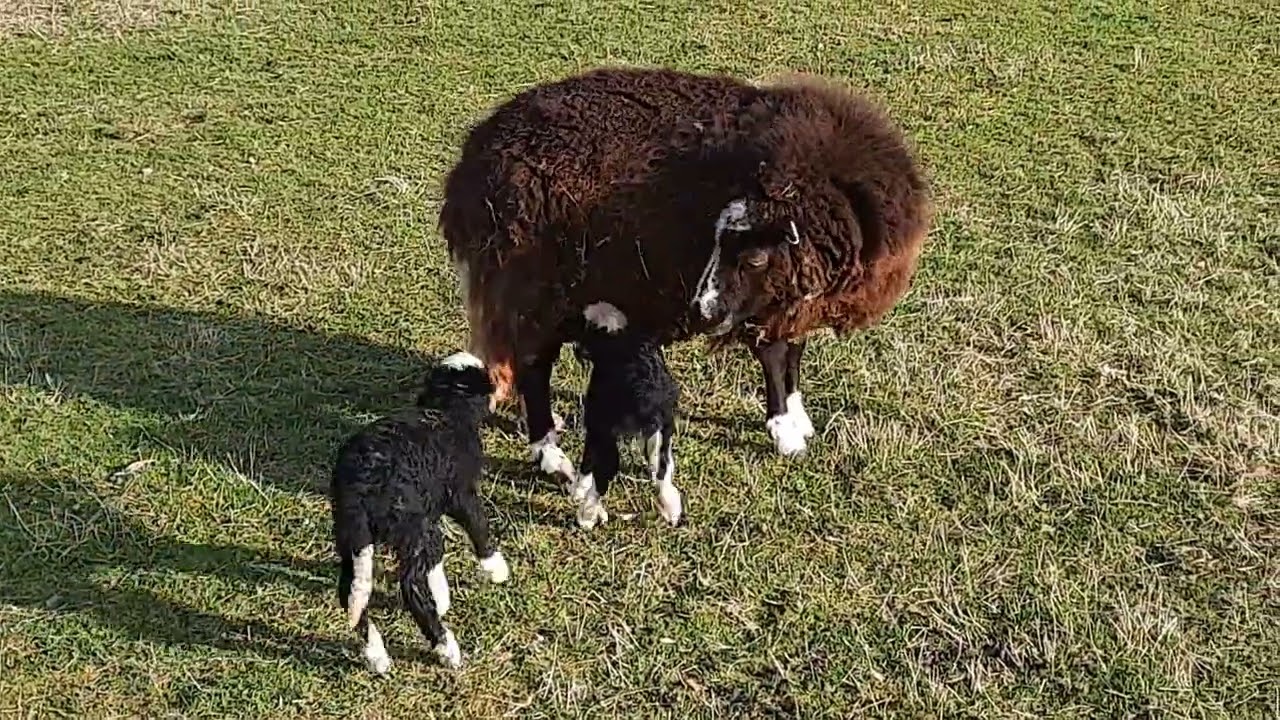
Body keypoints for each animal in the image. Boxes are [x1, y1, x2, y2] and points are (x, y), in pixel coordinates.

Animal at [330, 351, 510, 674]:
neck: (446, 410)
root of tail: (357, 488)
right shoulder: (460, 493)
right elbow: (478, 525)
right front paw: (495, 568)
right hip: (409, 525)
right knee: (412, 584)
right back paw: (446, 647)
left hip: (351, 534)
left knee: (350, 590)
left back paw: (376, 655)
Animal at [440, 66, 933, 480]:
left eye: (754, 258)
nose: (704, 311)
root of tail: (473, 162)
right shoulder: (761, 304)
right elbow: (775, 356)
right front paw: (785, 433)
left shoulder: (787, 299)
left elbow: (793, 352)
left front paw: (798, 416)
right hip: (534, 285)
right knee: (534, 365)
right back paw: (549, 453)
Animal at [568, 301, 682, 530]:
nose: (576, 347)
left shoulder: (595, 422)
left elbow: (588, 461)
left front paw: (577, 491)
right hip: (666, 422)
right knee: (664, 467)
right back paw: (672, 509)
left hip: (606, 430)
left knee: (603, 476)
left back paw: (585, 516)